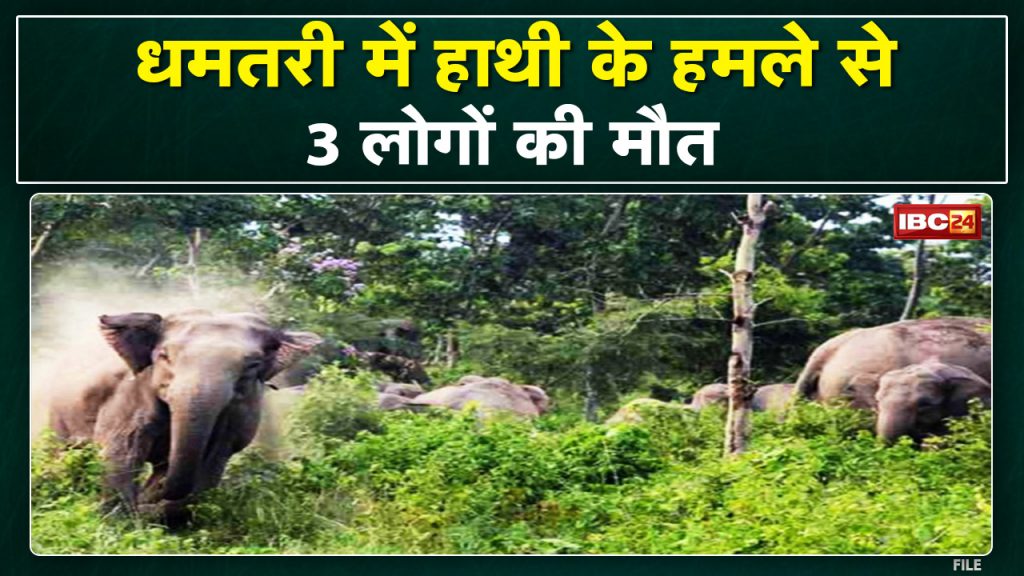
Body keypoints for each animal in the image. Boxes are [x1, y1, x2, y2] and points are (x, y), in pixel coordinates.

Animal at [48, 310, 320, 521]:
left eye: (252, 366)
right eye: (164, 356)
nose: (149, 499)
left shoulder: (241, 413)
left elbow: (214, 460)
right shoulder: (128, 396)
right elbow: (122, 450)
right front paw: (119, 521)